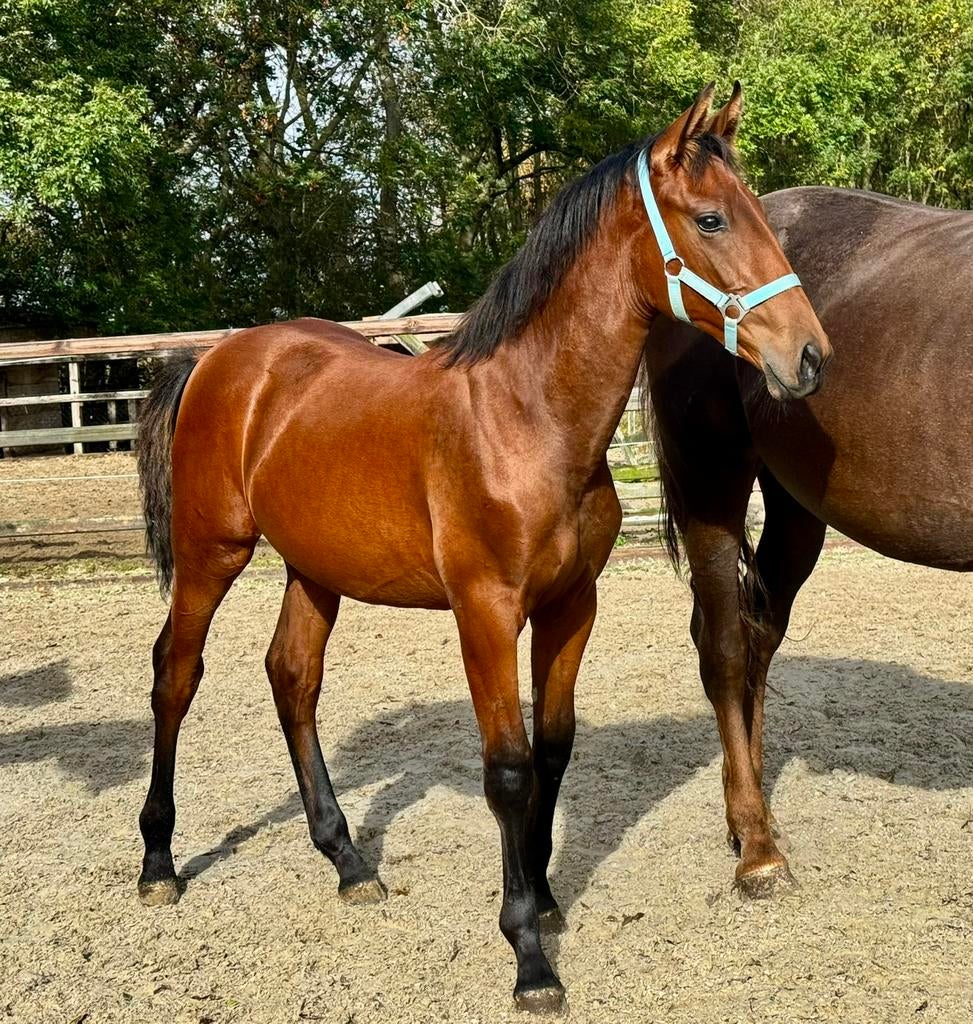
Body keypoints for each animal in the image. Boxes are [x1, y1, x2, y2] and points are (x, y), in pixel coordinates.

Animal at [134, 84, 829, 1012]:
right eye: (712, 219)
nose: (809, 356)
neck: (525, 416)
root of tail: (220, 361)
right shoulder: (485, 613)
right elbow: (505, 769)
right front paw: (528, 953)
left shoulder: (571, 606)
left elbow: (553, 748)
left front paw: (542, 893)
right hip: (213, 552)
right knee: (176, 675)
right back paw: (158, 862)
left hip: (314, 570)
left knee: (292, 678)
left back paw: (349, 862)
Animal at [645, 184, 973, 899]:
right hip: (710, 481)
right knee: (724, 649)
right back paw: (756, 849)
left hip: (795, 507)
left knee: (757, 632)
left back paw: (752, 817)